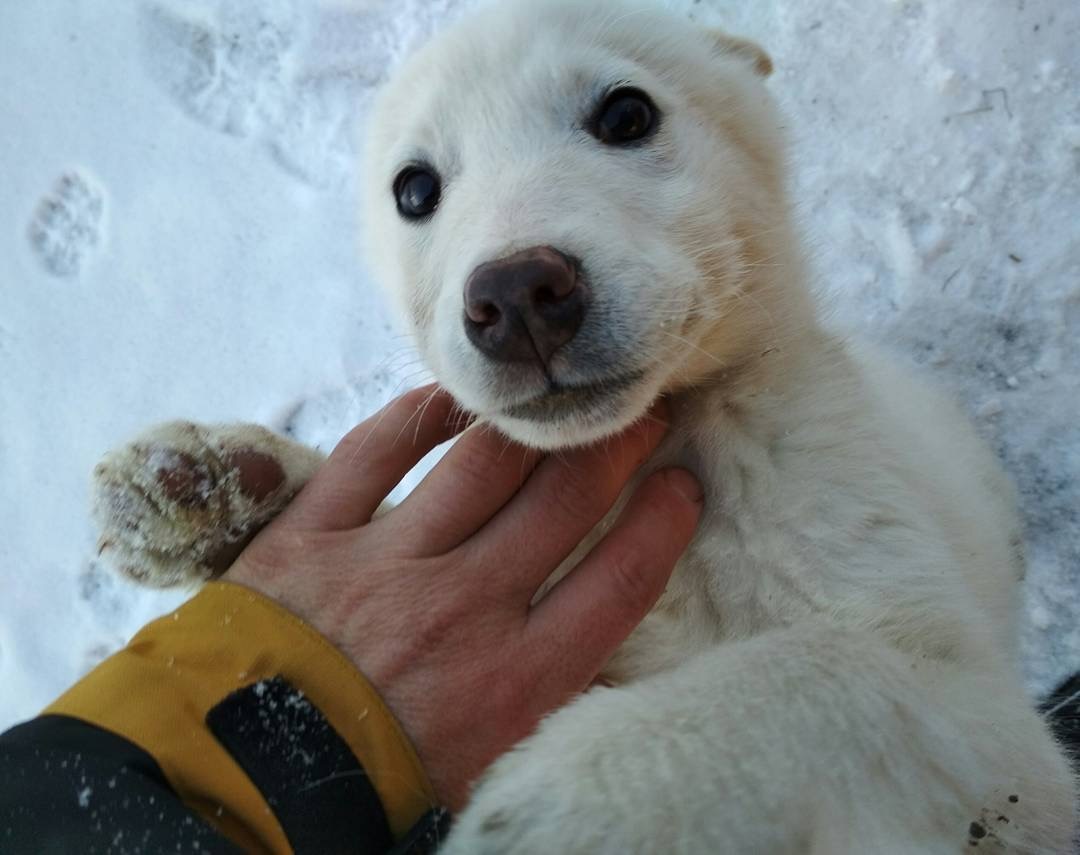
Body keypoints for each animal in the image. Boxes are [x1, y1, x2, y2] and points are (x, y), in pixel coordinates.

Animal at [92, 0, 1071, 850]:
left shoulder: (972, 701)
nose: (519, 293)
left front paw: (594, 796)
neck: (657, 451)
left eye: (627, 112)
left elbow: (852, 675)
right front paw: (212, 483)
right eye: (415, 188)